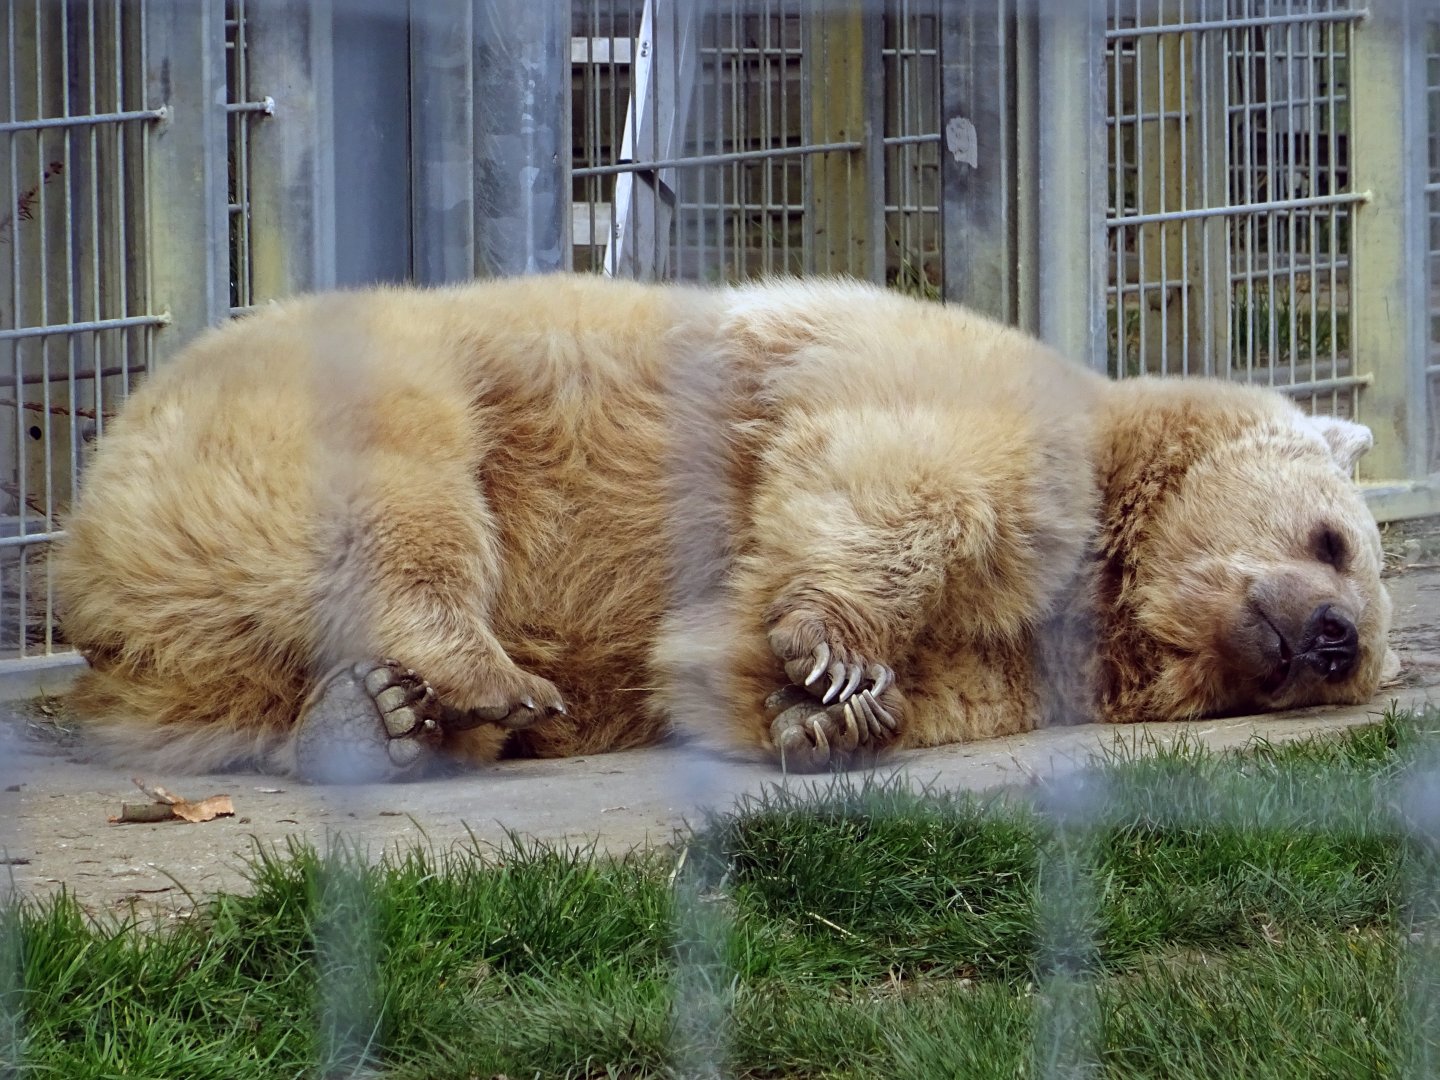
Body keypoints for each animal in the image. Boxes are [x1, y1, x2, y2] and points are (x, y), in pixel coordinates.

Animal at [52, 275, 1396, 781]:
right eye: (1335, 542)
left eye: (1363, 654)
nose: (1331, 638)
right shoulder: (949, 386)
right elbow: (896, 477)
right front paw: (838, 652)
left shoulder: (1023, 660)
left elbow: (732, 671)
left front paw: (835, 714)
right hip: (351, 385)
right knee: (409, 497)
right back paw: (480, 675)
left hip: (195, 650)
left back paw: (376, 719)